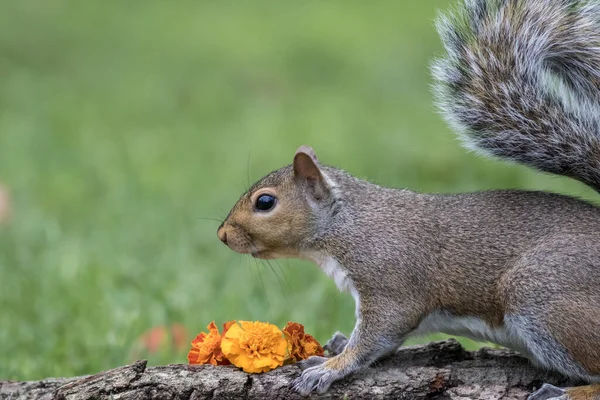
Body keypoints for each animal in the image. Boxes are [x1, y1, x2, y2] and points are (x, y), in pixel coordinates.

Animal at [218, 0, 600, 398]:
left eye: (265, 202)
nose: (222, 235)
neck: (347, 225)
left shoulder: (392, 284)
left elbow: (378, 335)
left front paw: (330, 368)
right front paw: (336, 346)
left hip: (544, 299)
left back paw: (565, 391)